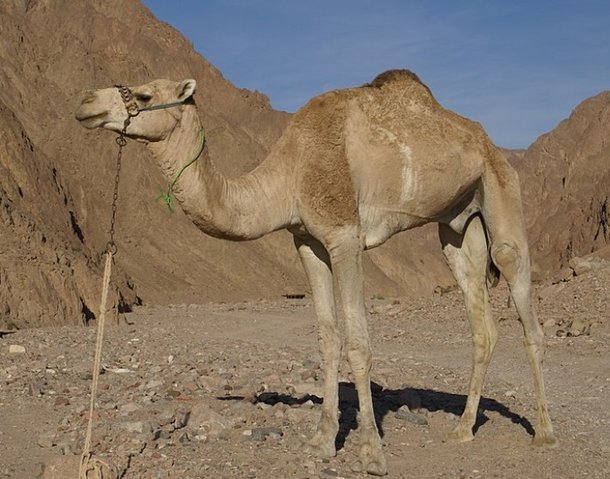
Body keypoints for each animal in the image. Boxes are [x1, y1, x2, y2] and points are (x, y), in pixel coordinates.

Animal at [76, 70, 556, 476]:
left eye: (144, 95)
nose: (85, 103)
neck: (290, 174)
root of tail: (489, 143)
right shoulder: (307, 242)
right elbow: (328, 338)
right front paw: (322, 441)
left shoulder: (345, 236)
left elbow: (359, 343)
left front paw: (372, 453)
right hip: (457, 225)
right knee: (481, 321)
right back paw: (461, 429)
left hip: (501, 192)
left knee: (524, 304)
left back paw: (545, 434)